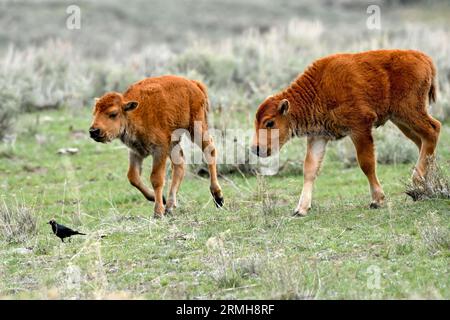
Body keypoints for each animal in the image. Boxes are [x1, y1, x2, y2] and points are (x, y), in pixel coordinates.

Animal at [90, 74, 224, 218]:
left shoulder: (159, 150)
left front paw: (158, 212)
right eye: (95, 112)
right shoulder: (136, 152)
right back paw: (170, 205)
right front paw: (160, 200)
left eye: (113, 114)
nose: (94, 131)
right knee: (180, 165)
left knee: (209, 150)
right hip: (173, 142)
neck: (134, 114)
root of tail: (194, 84)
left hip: (196, 128)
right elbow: (133, 177)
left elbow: (156, 178)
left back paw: (218, 197)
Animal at [251, 48, 442, 216]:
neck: (317, 89)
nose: (256, 148)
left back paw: (417, 180)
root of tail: (424, 58)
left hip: (409, 111)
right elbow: (310, 169)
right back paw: (425, 181)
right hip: (400, 120)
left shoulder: (359, 128)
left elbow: (366, 163)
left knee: (433, 130)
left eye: (269, 122)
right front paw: (301, 209)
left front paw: (377, 200)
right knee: (422, 141)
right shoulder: (318, 136)